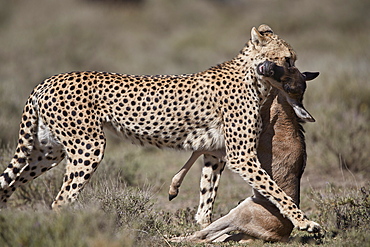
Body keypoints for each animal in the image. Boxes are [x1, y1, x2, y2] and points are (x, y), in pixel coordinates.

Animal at [0, 24, 320, 233]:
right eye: (287, 59)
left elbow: (207, 194)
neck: (253, 77)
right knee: (62, 201)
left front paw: (202, 224)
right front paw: (305, 222)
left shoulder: (216, 153)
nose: (296, 73)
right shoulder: (241, 156)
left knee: (8, 184)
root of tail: (48, 79)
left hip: (47, 151)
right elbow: (275, 190)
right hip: (88, 146)